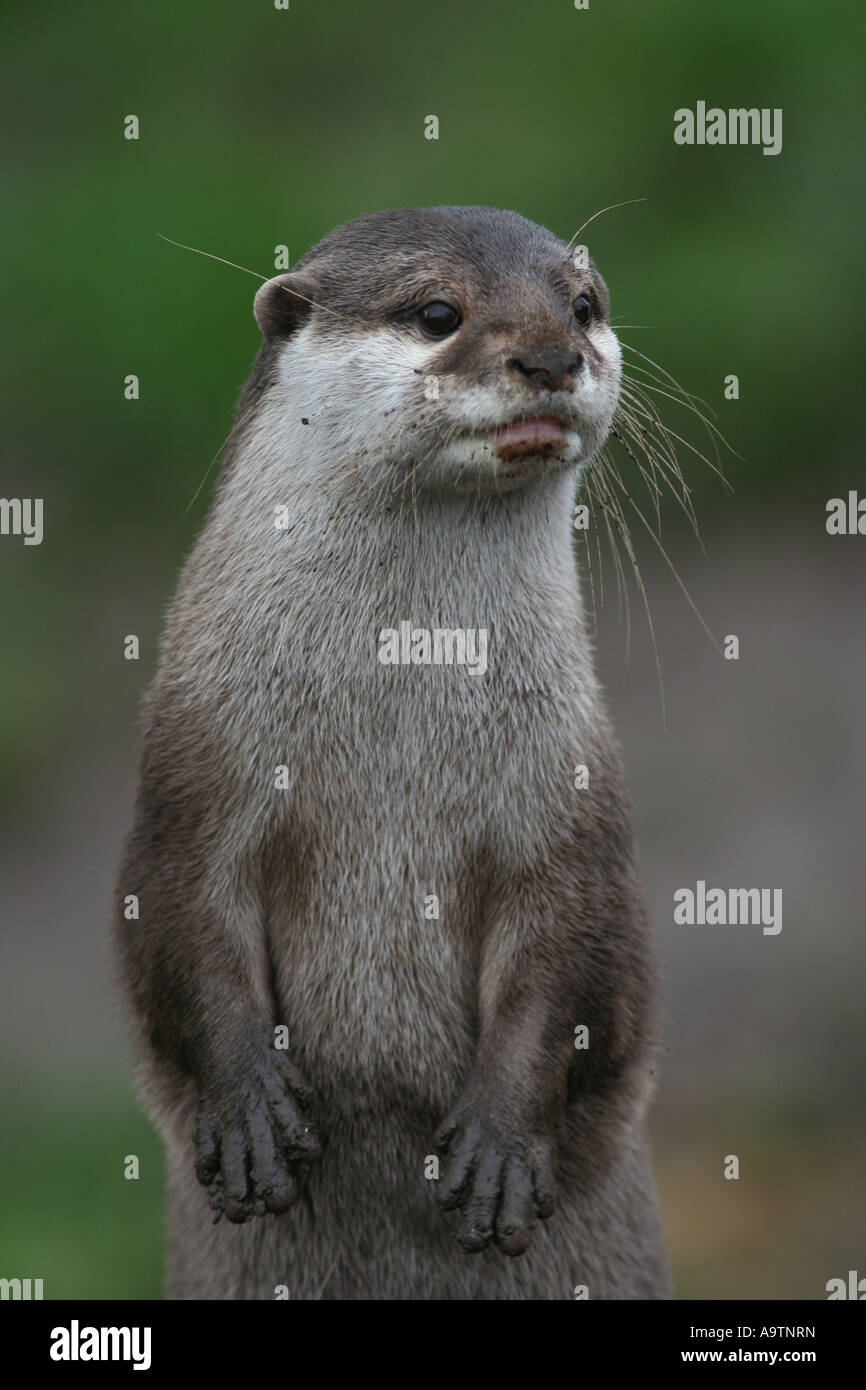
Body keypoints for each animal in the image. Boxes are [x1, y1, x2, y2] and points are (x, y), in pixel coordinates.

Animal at [115, 205, 671, 1300]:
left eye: (584, 305)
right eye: (436, 313)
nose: (552, 356)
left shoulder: (570, 813)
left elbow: (579, 966)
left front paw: (500, 1145)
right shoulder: (191, 782)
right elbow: (174, 922)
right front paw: (247, 1111)